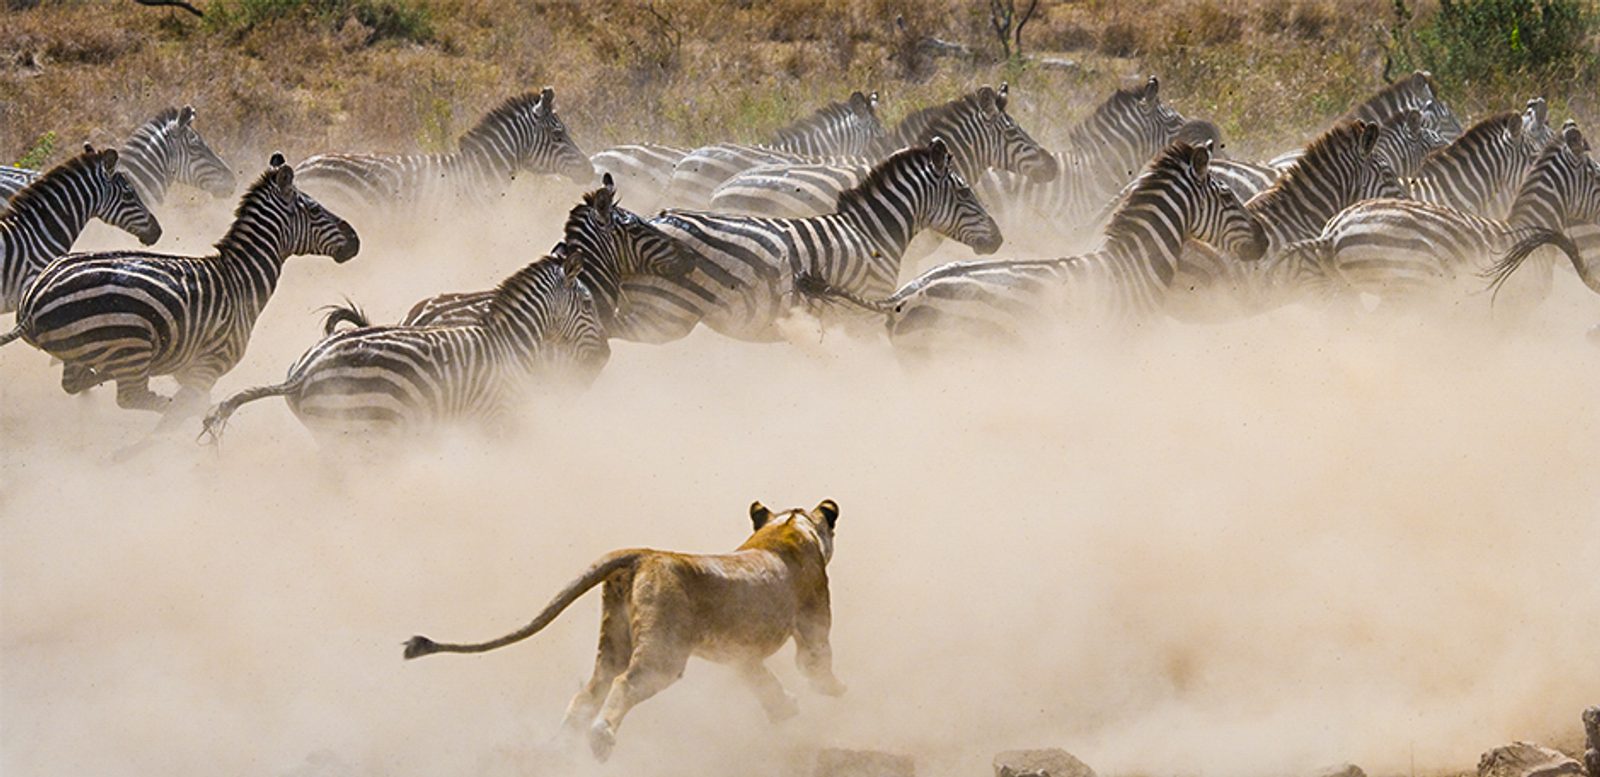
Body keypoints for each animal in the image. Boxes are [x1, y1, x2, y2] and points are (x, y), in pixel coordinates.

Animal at [199, 249, 609, 441]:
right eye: (589, 304)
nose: (605, 356)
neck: (512, 342)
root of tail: (302, 373)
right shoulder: (496, 419)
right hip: (367, 429)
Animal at [403, 499, 846, 761]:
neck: (789, 527)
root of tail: (642, 554)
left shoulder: (739, 654)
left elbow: (761, 681)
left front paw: (785, 709)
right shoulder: (812, 623)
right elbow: (815, 664)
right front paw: (835, 692)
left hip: (613, 639)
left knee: (588, 692)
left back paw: (562, 749)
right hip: (663, 654)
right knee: (624, 683)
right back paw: (600, 742)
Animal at [613, 137, 1003, 344]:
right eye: (965, 192)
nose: (999, 240)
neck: (872, 233)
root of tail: (651, 219)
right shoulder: (863, 314)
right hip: (664, 313)